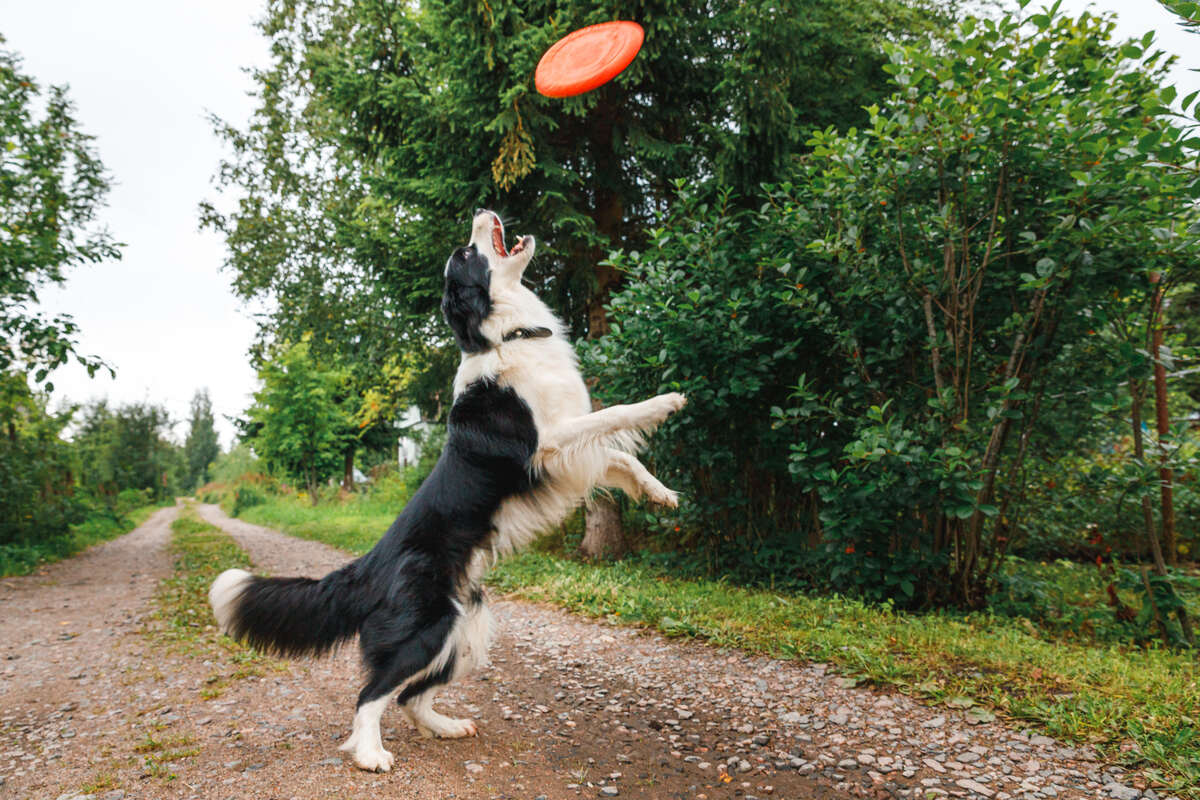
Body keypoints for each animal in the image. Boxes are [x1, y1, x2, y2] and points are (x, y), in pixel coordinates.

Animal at [206, 209, 686, 772]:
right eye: (466, 254)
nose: (482, 211)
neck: (507, 335)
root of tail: (368, 564)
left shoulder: (567, 455)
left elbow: (621, 456)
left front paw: (660, 494)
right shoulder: (545, 444)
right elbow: (614, 415)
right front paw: (664, 402)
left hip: (467, 626)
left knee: (412, 696)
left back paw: (446, 726)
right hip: (426, 628)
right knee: (372, 693)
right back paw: (371, 754)